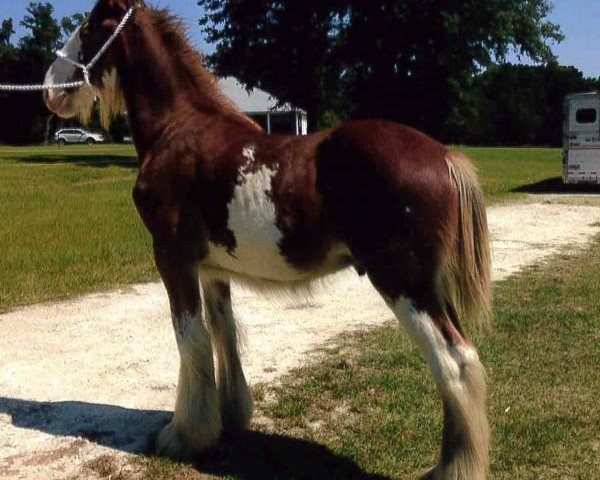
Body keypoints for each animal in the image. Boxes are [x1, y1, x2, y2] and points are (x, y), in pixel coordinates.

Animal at [43, 1, 492, 478]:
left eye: (89, 26)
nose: (50, 91)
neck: (178, 129)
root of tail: (445, 157)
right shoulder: (211, 269)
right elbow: (222, 333)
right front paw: (229, 418)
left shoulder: (172, 258)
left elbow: (189, 338)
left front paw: (184, 436)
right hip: (431, 287)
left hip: (404, 284)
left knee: (452, 361)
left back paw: (451, 466)